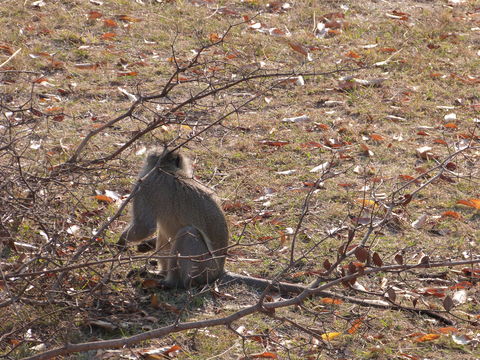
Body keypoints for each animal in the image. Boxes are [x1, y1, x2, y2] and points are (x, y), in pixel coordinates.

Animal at [117, 146, 228, 286]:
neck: (167, 169)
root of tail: (219, 271)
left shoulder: (145, 184)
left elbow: (145, 227)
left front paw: (122, 240)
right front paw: (147, 244)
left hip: (204, 267)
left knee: (187, 233)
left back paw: (169, 283)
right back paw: (158, 273)